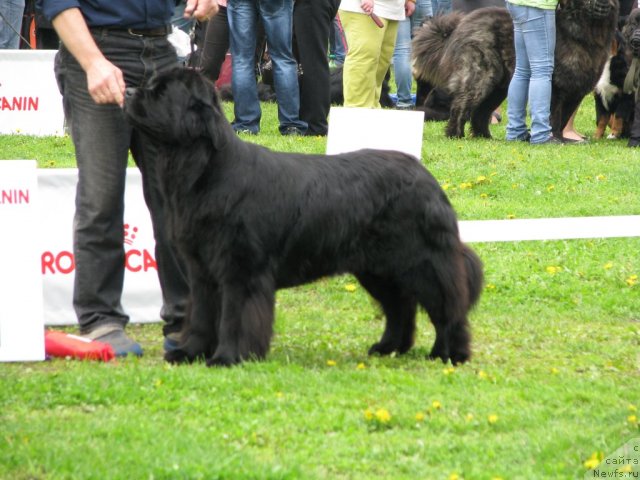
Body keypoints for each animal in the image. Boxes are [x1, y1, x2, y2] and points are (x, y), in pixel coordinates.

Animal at [122, 68, 482, 368]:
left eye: (160, 93)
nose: (128, 90)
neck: (203, 170)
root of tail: (427, 178)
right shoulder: (202, 271)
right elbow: (201, 315)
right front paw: (189, 352)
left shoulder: (241, 269)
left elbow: (235, 317)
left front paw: (228, 357)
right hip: (377, 268)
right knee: (400, 307)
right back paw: (388, 348)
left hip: (422, 261)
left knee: (448, 306)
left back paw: (450, 354)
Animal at [412, 0, 616, 139]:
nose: (604, 5)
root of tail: (459, 26)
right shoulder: (556, 87)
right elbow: (554, 116)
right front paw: (555, 139)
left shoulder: (576, 91)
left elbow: (564, 117)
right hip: (481, 77)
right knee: (461, 105)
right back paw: (455, 135)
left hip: (498, 87)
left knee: (480, 112)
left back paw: (485, 137)